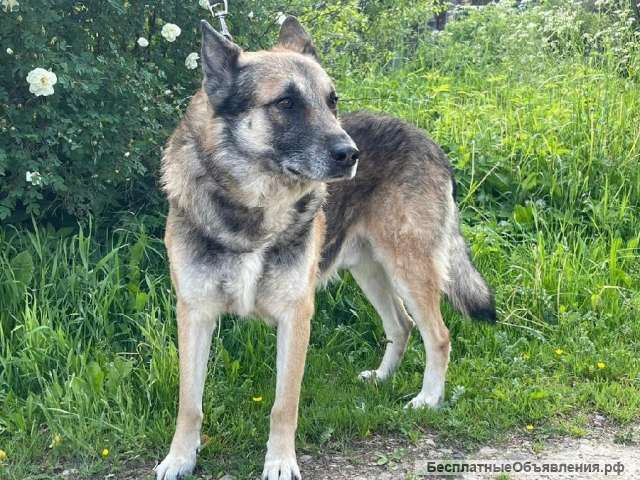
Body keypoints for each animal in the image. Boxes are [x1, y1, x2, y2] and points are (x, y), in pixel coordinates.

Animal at [155, 16, 495, 480]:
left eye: (332, 101)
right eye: (286, 102)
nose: (351, 154)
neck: (256, 207)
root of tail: (427, 139)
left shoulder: (295, 315)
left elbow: (284, 405)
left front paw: (280, 462)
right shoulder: (194, 314)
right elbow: (189, 403)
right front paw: (179, 458)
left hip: (408, 267)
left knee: (438, 335)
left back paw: (428, 399)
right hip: (370, 272)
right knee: (402, 325)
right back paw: (383, 378)